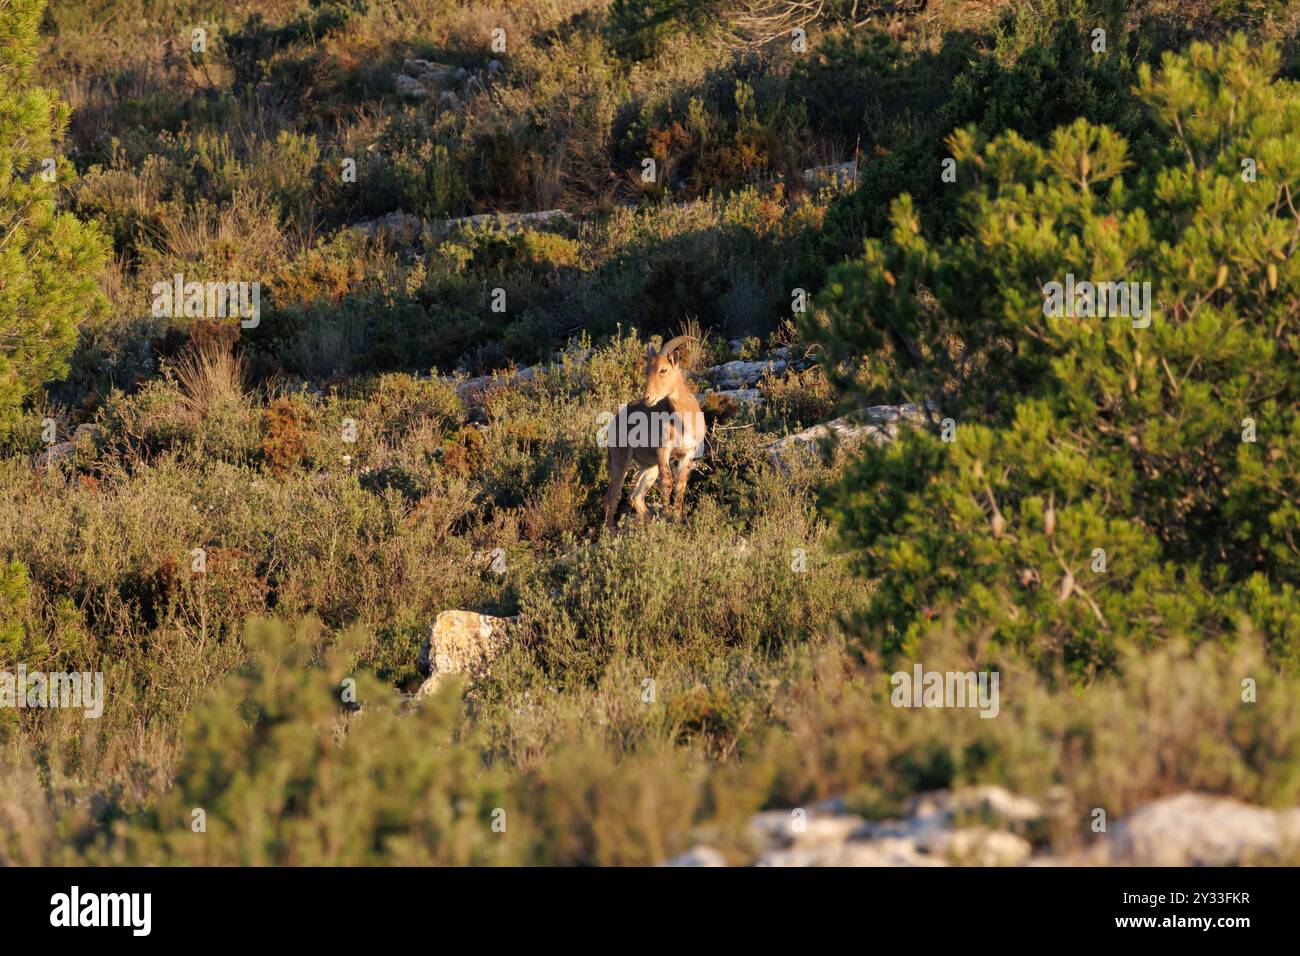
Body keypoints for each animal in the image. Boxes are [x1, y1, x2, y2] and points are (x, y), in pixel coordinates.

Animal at [603, 336, 707, 531]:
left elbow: (680, 485)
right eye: (647, 370)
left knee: (635, 496)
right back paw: (610, 532)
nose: (647, 398)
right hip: (621, 459)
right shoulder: (662, 451)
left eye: (663, 369)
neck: (682, 422)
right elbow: (666, 482)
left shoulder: (686, 454)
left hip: (648, 466)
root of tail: (614, 420)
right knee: (612, 496)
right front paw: (667, 519)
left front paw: (677, 520)